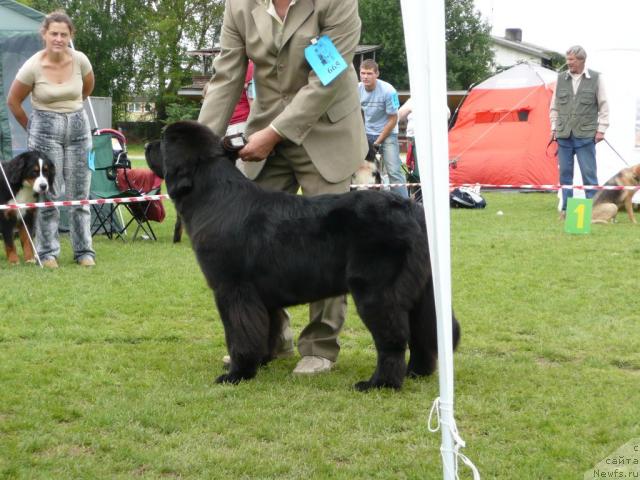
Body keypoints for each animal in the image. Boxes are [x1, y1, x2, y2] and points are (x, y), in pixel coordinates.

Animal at [162, 121, 458, 390]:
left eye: (162, 141)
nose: (153, 143)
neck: (213, 195)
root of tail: (412, 209)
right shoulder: (262, 297)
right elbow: (266, 329)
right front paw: (262, 361)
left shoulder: (233, 290)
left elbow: (240, 335)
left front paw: (238, 374)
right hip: (421, 289)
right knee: (424, 332)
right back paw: (416, 372)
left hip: (377, 290)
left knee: (393, 339)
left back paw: (380, 383)